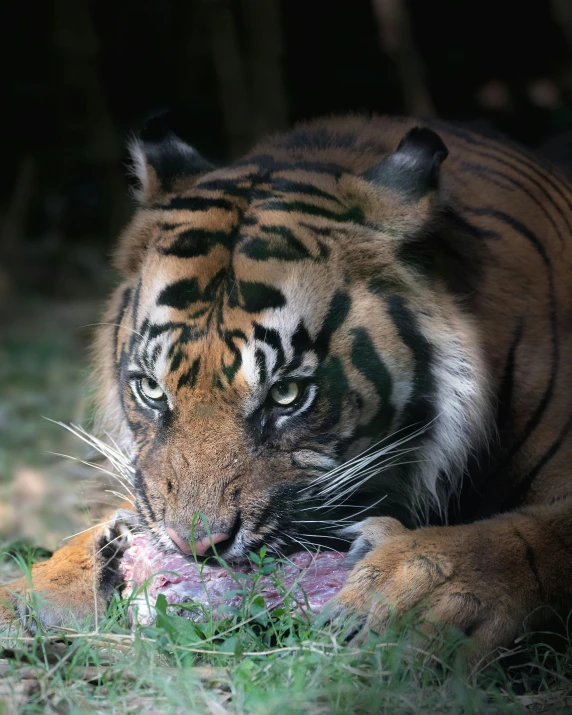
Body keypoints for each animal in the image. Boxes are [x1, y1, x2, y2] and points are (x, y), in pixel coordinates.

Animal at [1, 113, 572, 660]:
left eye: (286, 395)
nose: (196, 549)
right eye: (152, 390)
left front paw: (414, 595)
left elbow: (521, 539)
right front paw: (34, 589)